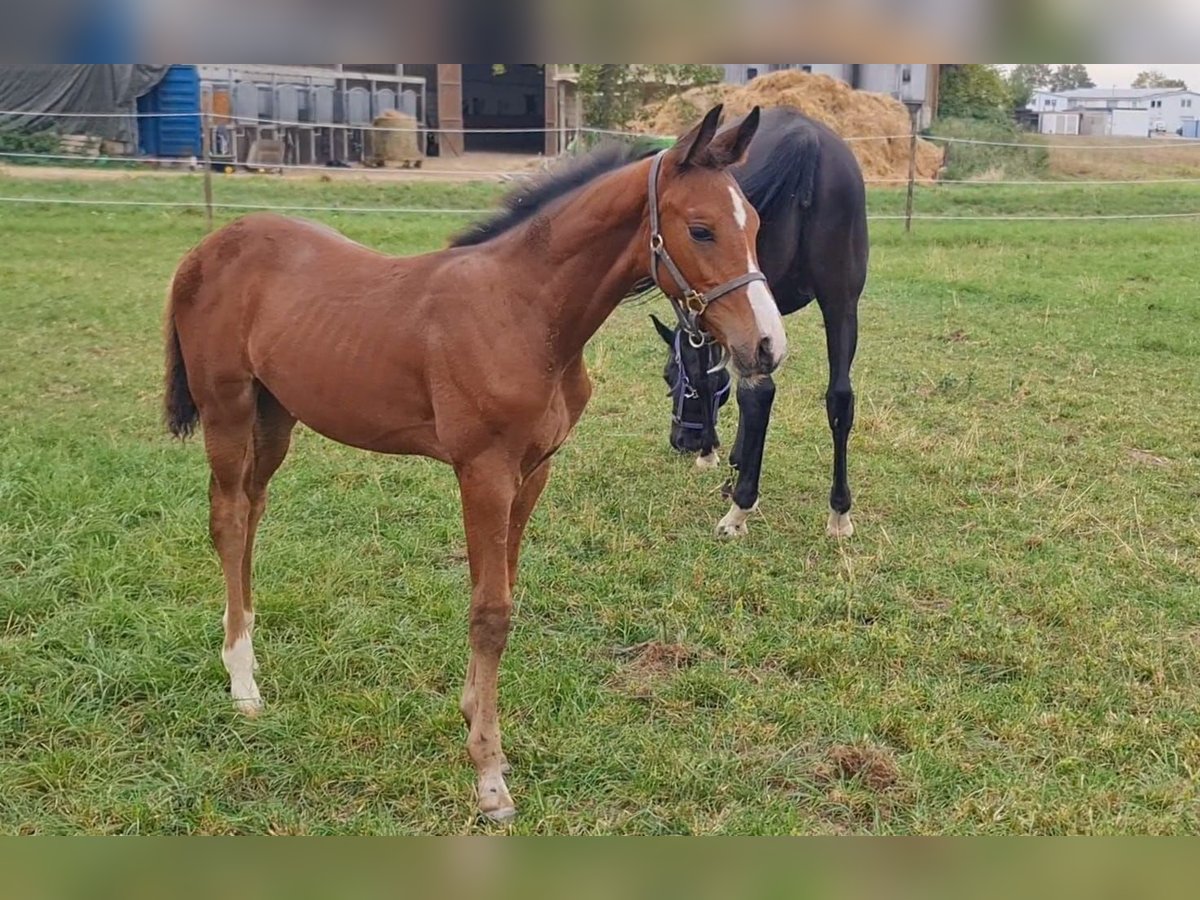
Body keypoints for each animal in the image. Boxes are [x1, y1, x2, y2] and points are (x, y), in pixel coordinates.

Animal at [166, 105, 787, 825]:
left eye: (757, 226)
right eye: (701, 228)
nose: (767, 346)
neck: (525, 310)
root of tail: (207, 248)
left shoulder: (534, 469)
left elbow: (504, 595)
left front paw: (478, 728)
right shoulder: (483, 471)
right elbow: (491, 613)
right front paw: (489, 775)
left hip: (275, 417)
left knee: (252, 513)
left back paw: (247, 651)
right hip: (228, 410)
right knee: (229, 519)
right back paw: (242, 682)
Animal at [648, 106, 864, 542]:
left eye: (667, 376)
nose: (681, 440)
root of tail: (805, 137)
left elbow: (709, 380)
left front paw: (713, 454)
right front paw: (734, 456)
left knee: (760, 393)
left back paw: (740, 508)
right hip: (841, 302)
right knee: (840, 397)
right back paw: (839, 513)